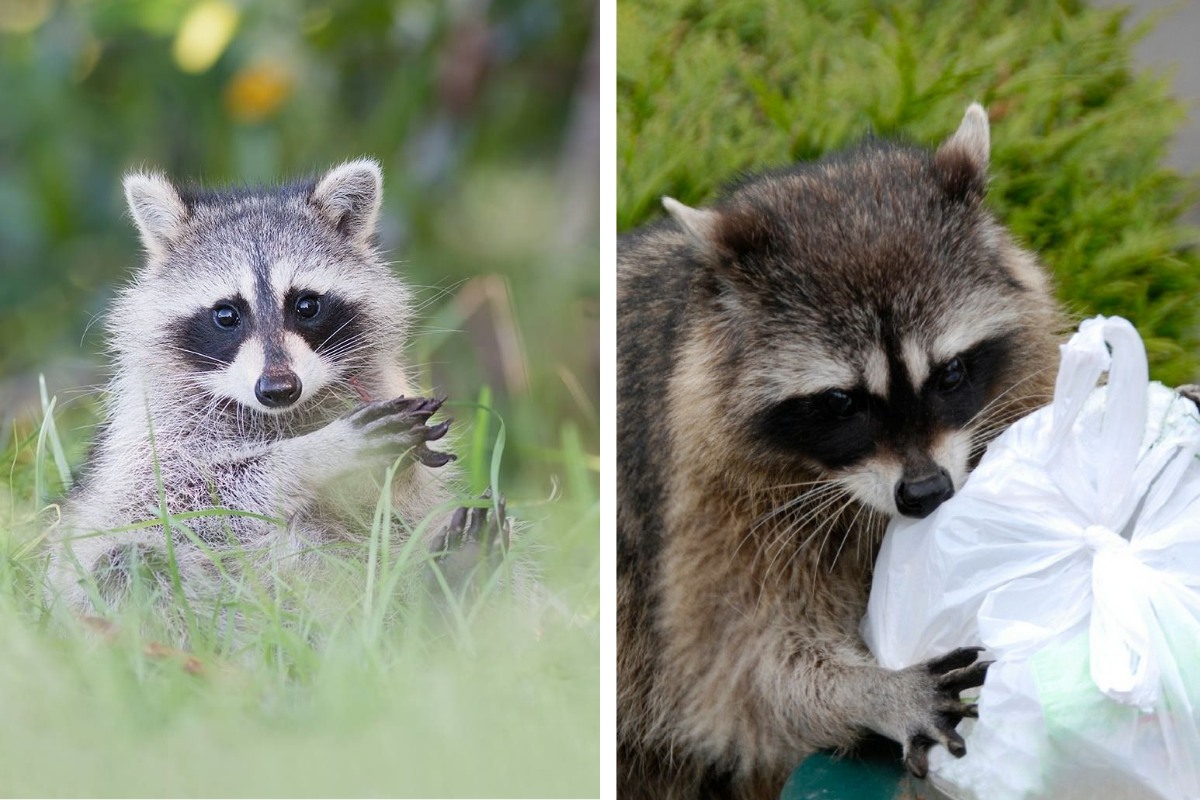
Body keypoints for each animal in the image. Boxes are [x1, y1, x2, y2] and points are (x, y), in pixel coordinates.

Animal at [50, 159, 508, 625]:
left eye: (306, 305)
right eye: (226, 315)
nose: (279, 389)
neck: (281, 416)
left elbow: (401, 508)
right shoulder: (151, 435)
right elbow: (176, 498)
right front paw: (317, 453)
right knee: (128, 565)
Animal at [617, 105, 1063, 797]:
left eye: (951, 374)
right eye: (840, 403)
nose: (926, 494)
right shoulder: (702, 506)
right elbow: (736, 671)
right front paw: (871, 691)